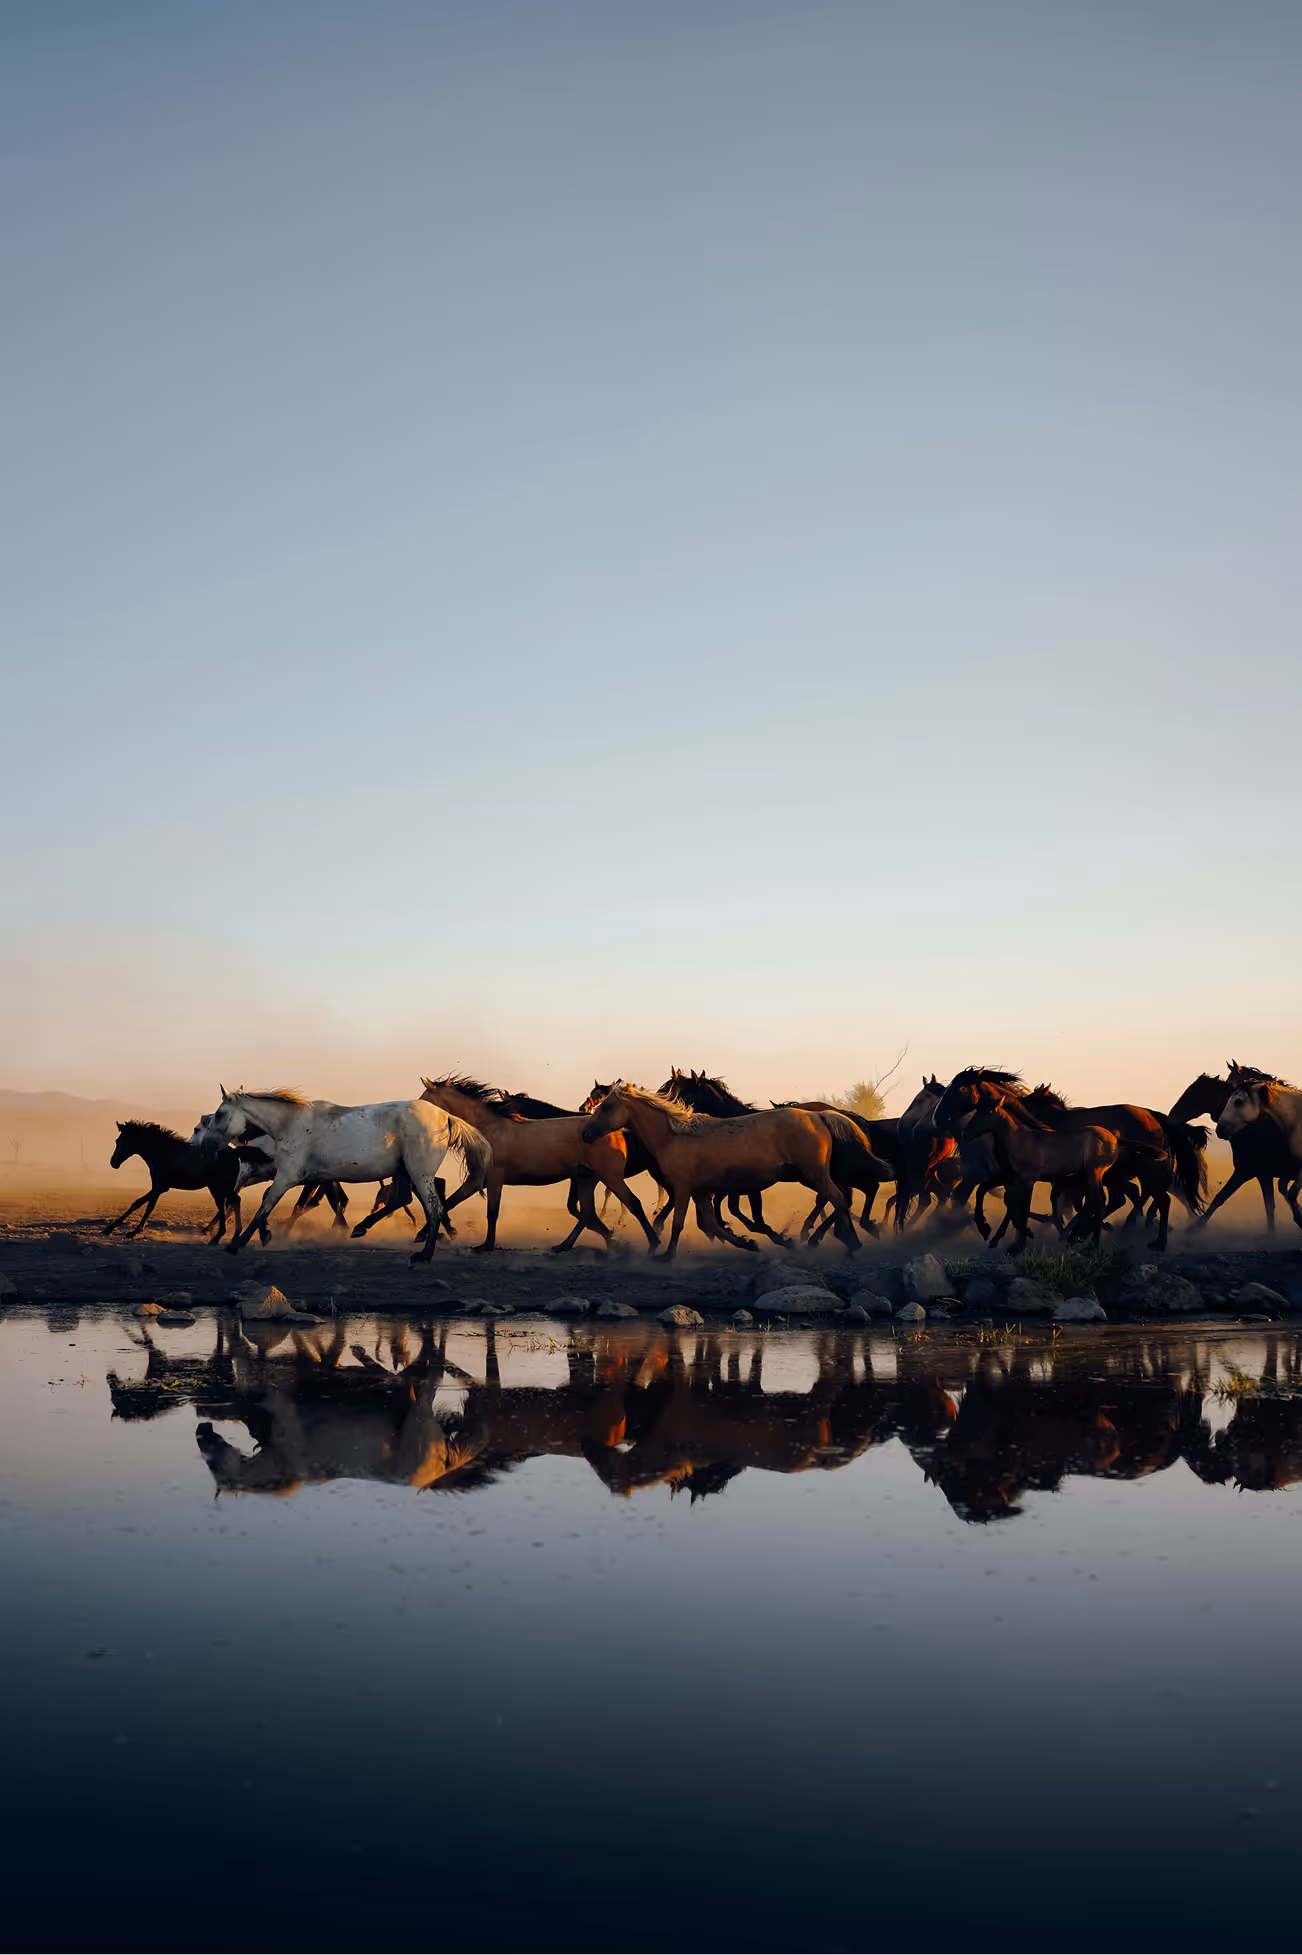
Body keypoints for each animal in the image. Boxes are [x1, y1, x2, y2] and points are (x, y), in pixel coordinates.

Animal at [105, 1121, 244, 1243]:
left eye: (118, 1141)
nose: (113, 1163)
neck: (163, 1153)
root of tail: (235, 1154)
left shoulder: (160, 1186)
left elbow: (144, 1205)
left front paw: (129, 1231)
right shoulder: (160, 1187)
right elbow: (142, 1204)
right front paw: (116, 1229)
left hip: (219, 1186)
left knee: (228, 1203)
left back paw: (218, 1236)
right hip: (220, 1187)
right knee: (229, 1202)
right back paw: (226, 1235)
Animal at [196, 1087, 454, 1260]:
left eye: (219, 1114)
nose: (204, 1148)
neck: (291, 1123)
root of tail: (445, 1117)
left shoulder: (289, 1175)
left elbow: (266, 1205)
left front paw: (238, 1243)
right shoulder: (307, 1177)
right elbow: (274, 1200)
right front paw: (264, 1234)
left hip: (420, 1174)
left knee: (434, 1208)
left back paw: (424, 1255)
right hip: (404, 1172)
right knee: (407, 1199)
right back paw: (363, 1228)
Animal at [419, 1075, 660, 1253]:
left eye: (424, 1099)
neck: (488, 1131)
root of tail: (617, 1131)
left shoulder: (494, 1179)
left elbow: (491, 1212)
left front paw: (486, 1245)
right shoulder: (477, 1179)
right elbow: (449, 1202)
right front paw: (425, 1234)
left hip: (610, 1176)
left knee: (632, 1203)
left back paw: (652, 1243)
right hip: (587, 1179)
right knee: (588, 1212)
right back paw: (596, 1242)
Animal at [581, 1081, 860, 1262]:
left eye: (606, 1107)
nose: (586, 1134)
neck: (674, 1137)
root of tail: (819, 1116)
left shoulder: (683, 1188)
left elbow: (680, 1222)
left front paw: (667, 1255)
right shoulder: (701, 1191)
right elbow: (713, 1222)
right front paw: (750, 1243)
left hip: (813, 1173)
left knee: (837, 1199)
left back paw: (840, 1242)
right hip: (811, 1175)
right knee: (838, 1199)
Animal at [1169, 1071, 1298, 1230]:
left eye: (1191, 1092)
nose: (1171, 1114)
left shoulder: (1250, 1172)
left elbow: (1221, 1198)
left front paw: (1193, 1228)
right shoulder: (1259, 1174)